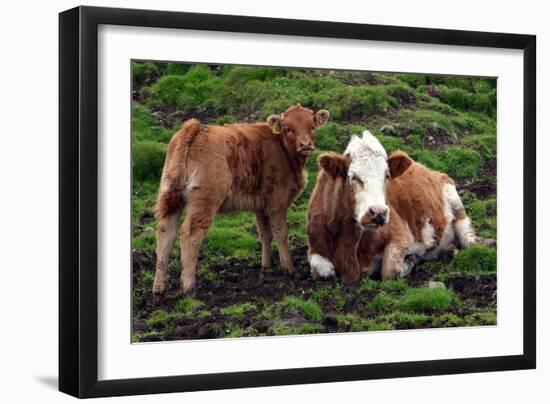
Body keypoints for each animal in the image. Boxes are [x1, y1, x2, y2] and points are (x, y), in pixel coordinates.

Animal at [153, 105, 330, 304]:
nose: (306, 145)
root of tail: (195, 128)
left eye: (312, 126)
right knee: (191, 234)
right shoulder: (277, 201)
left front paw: (266, 266)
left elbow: (264, 234)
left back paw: (159, 289)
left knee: (165, 231)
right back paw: (188, 288)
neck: (280, 148)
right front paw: (289, 268)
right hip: (205, 200)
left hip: (171, 195)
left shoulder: (261, 205)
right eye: (288, 128)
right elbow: (280, 233)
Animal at [308, 131, 480, 282]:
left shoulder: (401, 235)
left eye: (387, 176)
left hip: (454, 199)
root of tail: (426, 168)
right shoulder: (315, 245)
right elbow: (321, 270)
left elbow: (389, 271)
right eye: (354, 177)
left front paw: (410, 261)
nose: (378, 213)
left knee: (466, 235)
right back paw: (448, 251)